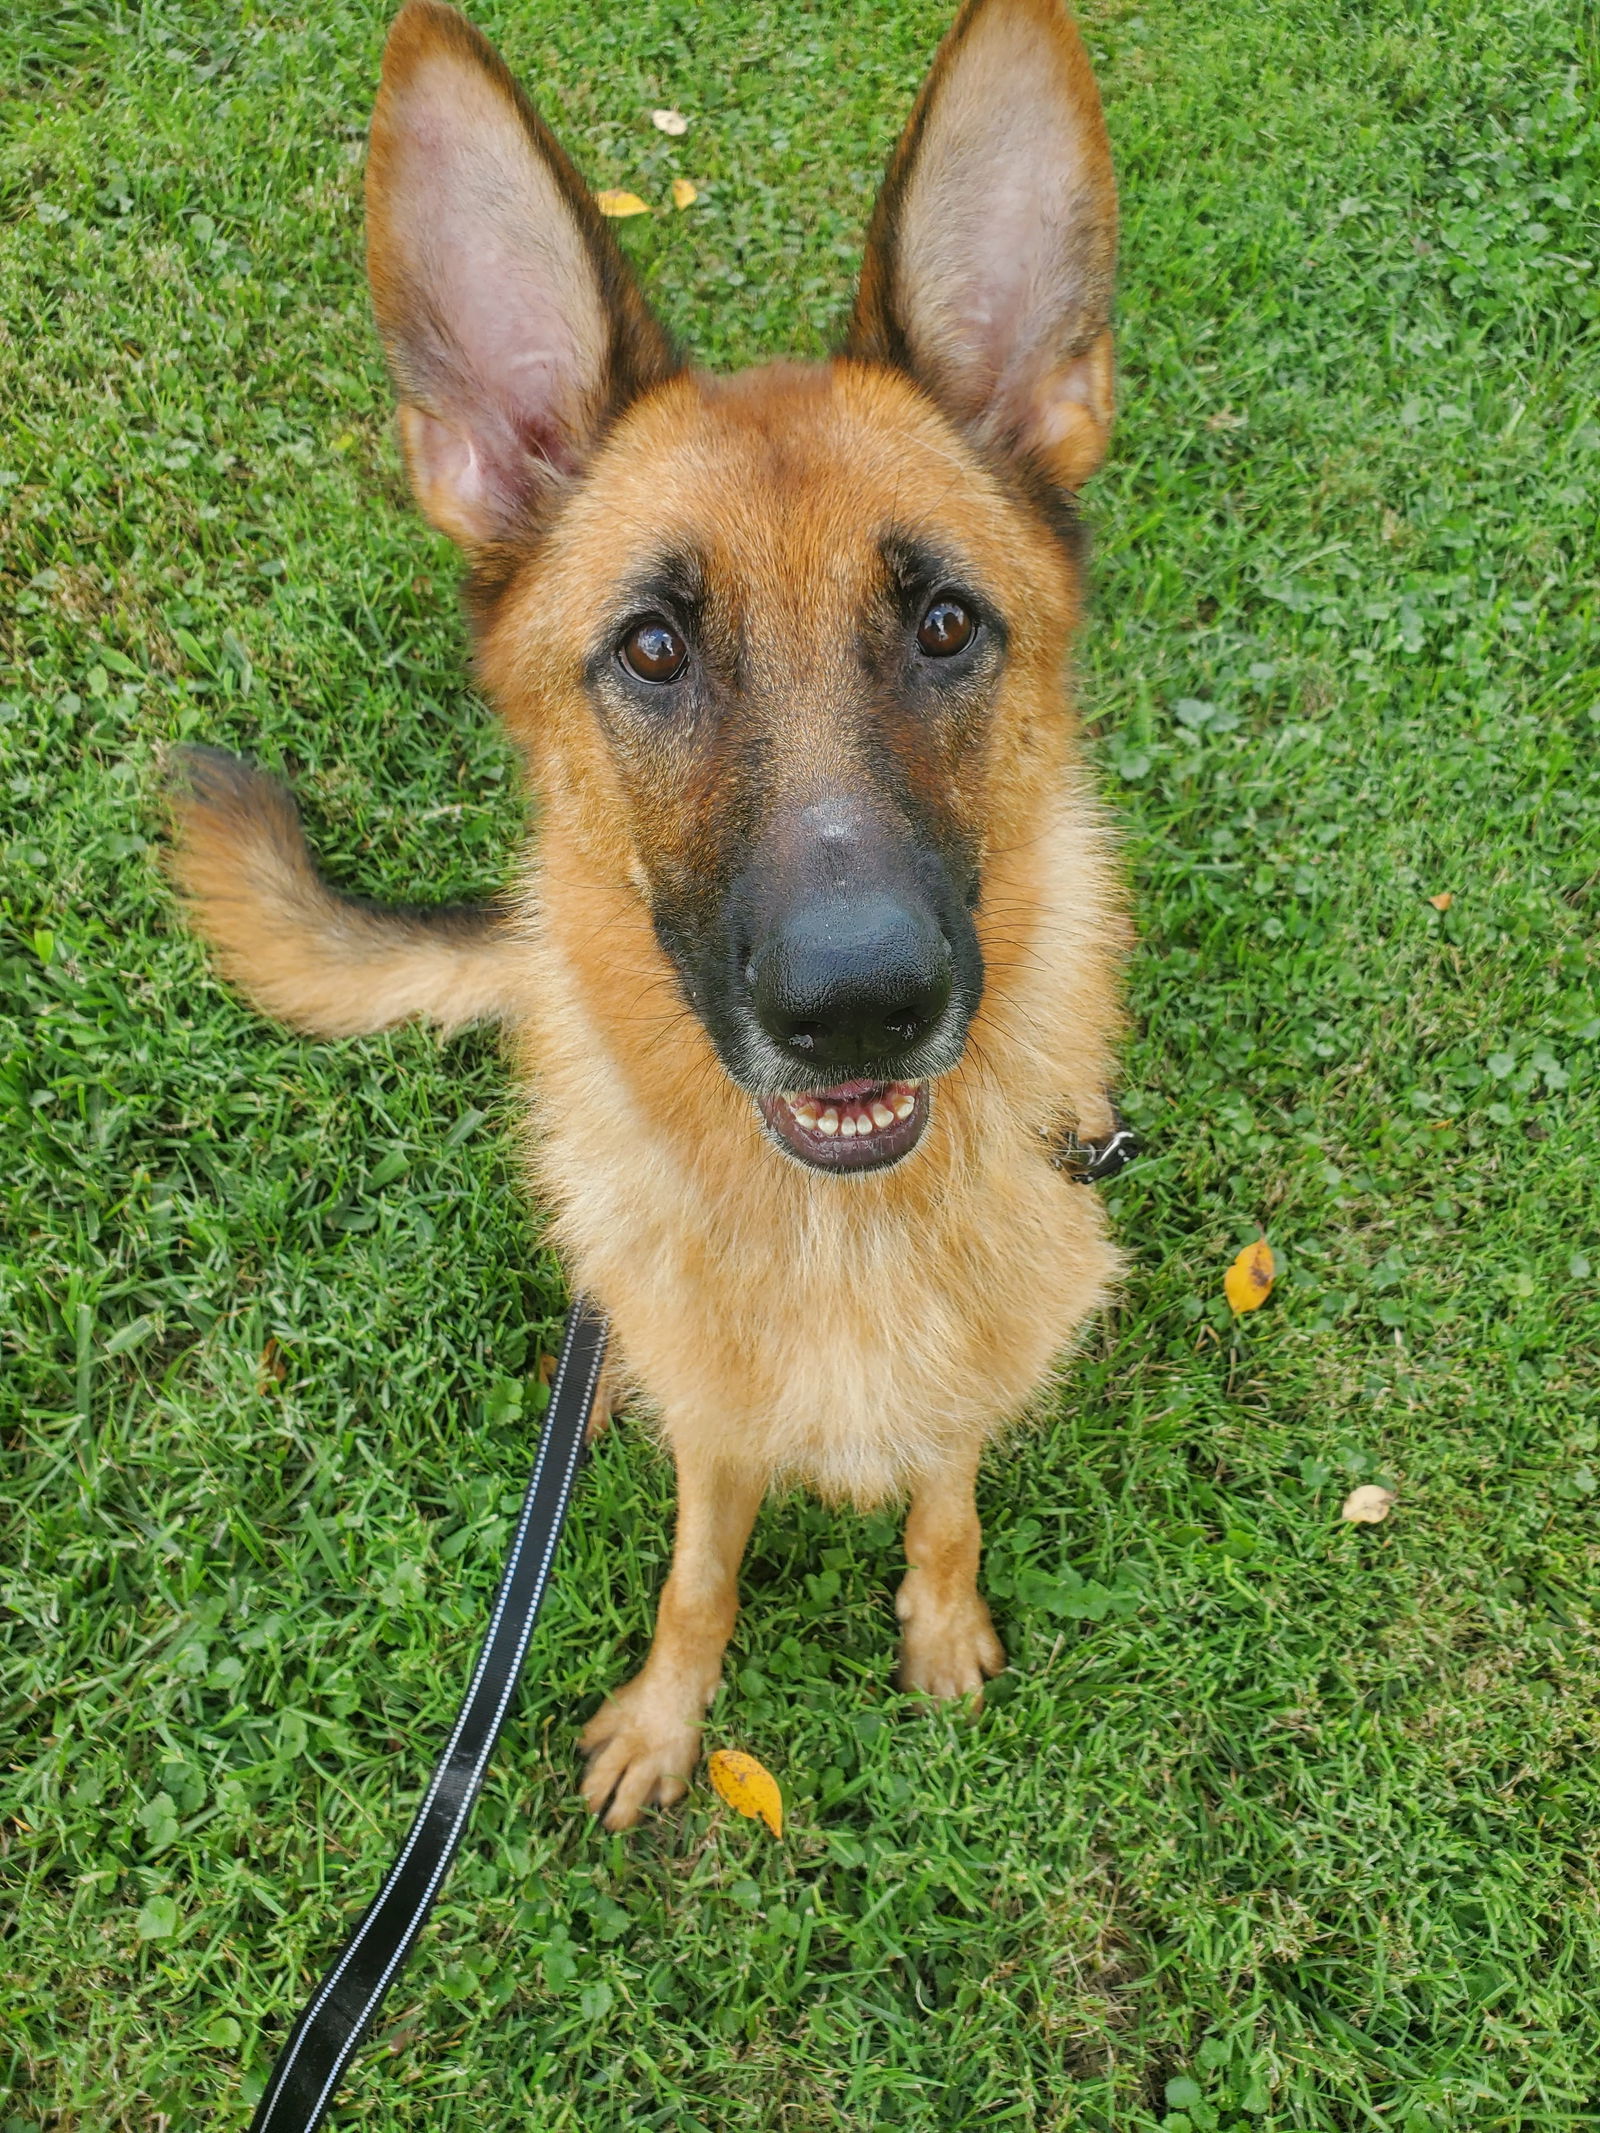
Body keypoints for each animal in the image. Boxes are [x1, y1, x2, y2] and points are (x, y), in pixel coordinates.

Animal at [169, 0, 1126, 1834]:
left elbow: (948, 1491)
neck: (842, 1234)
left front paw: (940, 1620)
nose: (859, 1007)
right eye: (655, 649)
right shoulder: (720, 1438)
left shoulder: (970, 1375)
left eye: (947, 623)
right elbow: (702, 1568)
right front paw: (670, 1721)